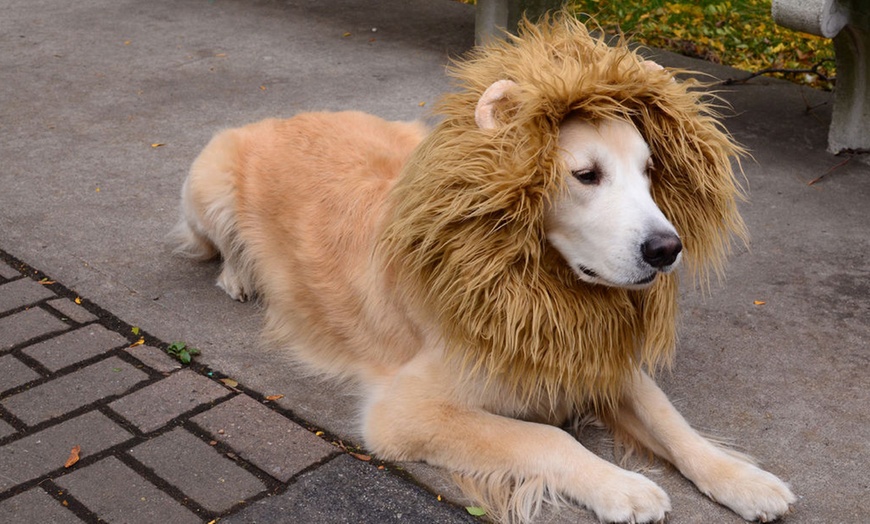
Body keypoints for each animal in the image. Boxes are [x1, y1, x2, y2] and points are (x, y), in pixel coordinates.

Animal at [170, 14, 796, 520]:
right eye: (585, 175)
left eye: (649, 171)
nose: (667, 249)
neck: (528, 285)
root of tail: (287, 115)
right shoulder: (406, 411)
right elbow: (547, 439)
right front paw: (623, 487)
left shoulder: (596, 356)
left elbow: (673, 423)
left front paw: (743, 480)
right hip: (207, 177)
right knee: (217, 248)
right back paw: (240, 276)